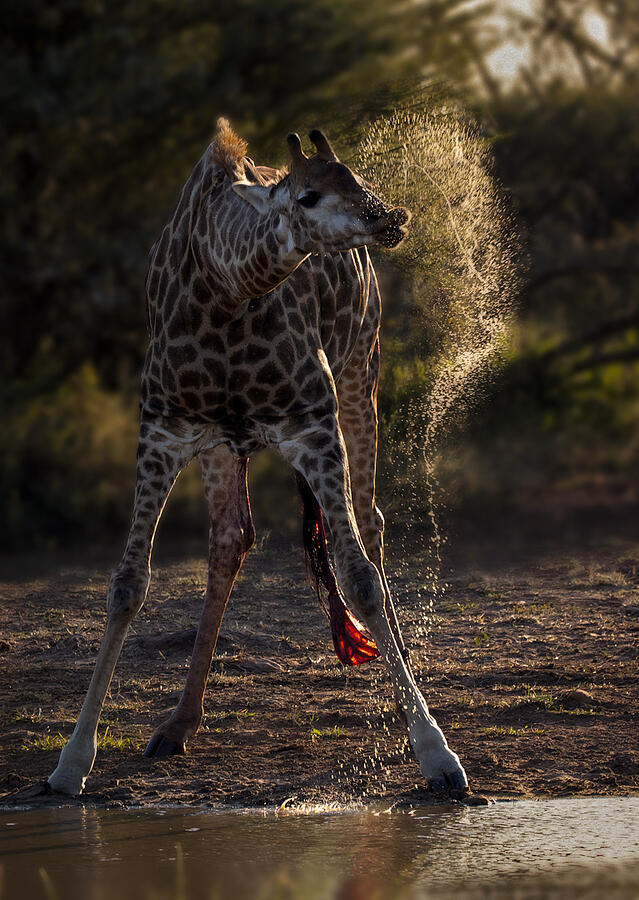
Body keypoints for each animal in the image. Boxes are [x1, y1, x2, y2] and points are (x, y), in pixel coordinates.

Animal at [48, 119, 468, 797]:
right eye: (306, 196)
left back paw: (399, 670)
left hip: (361, 371)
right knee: (230, 539)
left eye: (355, 176)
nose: (389, 217)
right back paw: (178, 724)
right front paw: (69, 763)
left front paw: (435, 752)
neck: (224, 293)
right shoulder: (162, 433)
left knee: (370, 524)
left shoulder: (313, 425)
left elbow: (359, 578)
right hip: (225, 444)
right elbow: (127, 584)